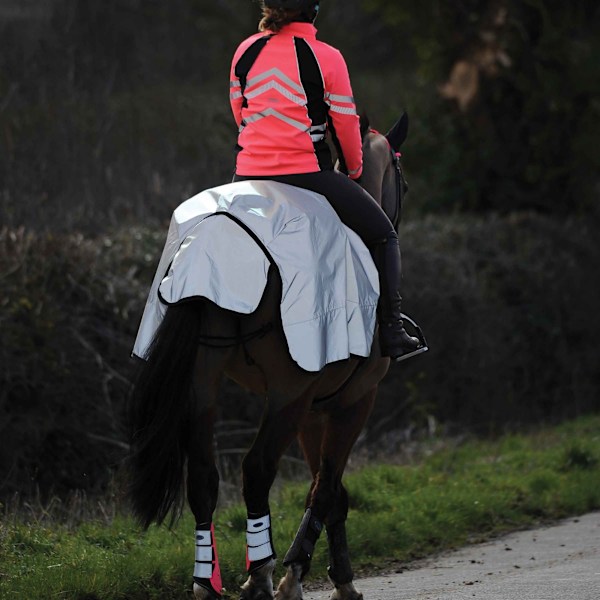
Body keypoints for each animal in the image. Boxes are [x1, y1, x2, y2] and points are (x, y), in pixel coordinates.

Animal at [127, 113, 418, 600]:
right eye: (405, 182)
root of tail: (215, 236)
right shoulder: (352, 400)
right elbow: (326, 489)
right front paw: (299, 573)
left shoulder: (314, 410)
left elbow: (331, 493)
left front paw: (334, 577)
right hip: (287, 391)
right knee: (257, 469)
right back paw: (259, 574)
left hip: (202, 383)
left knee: (203, 477)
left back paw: (206, 582)